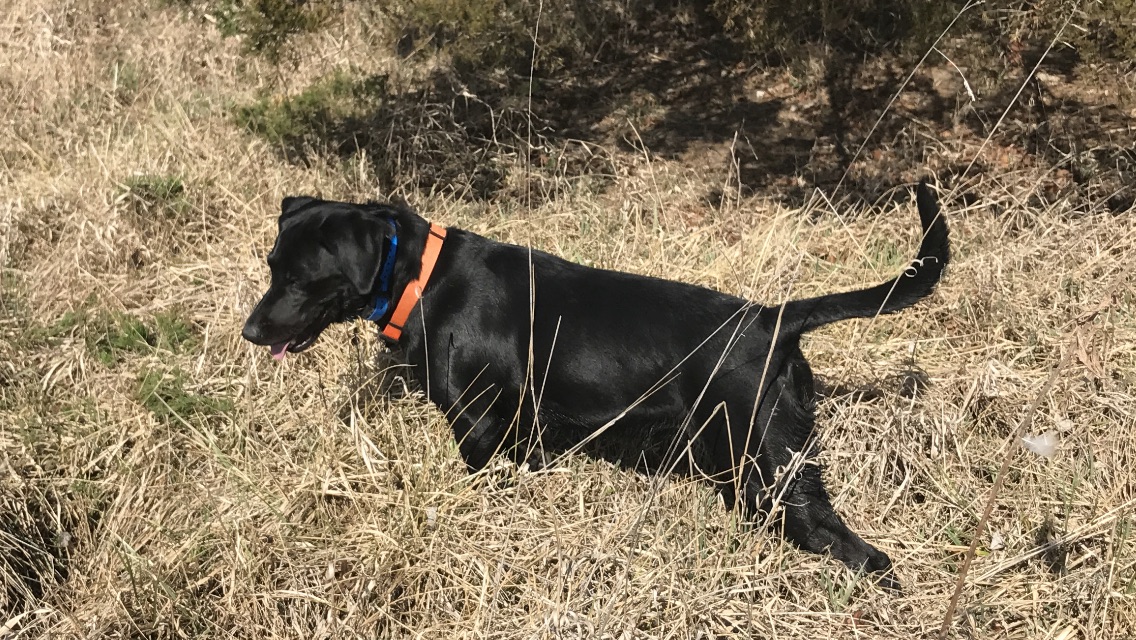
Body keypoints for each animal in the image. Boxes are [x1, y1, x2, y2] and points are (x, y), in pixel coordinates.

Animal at [244, 180, 945, 586]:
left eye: (298, 277)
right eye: (272, 264)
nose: (250, 331)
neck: (422, 277)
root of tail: (773, 320)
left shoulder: (477, 425)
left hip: (774, 465)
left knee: (857, 550)